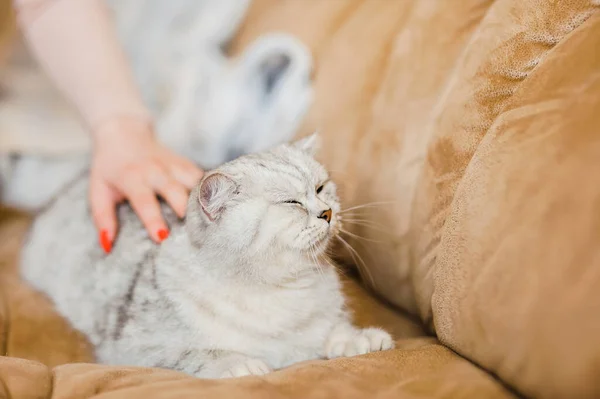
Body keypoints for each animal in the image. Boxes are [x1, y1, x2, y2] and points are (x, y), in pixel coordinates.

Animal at [19, 135, 394, 382]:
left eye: (320, 188)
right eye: (291, 203)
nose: (328, 213)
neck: (279, 290)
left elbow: (335, 330)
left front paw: (361, 339)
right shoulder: (135, 348)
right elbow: (198, 353)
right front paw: (242, 364)